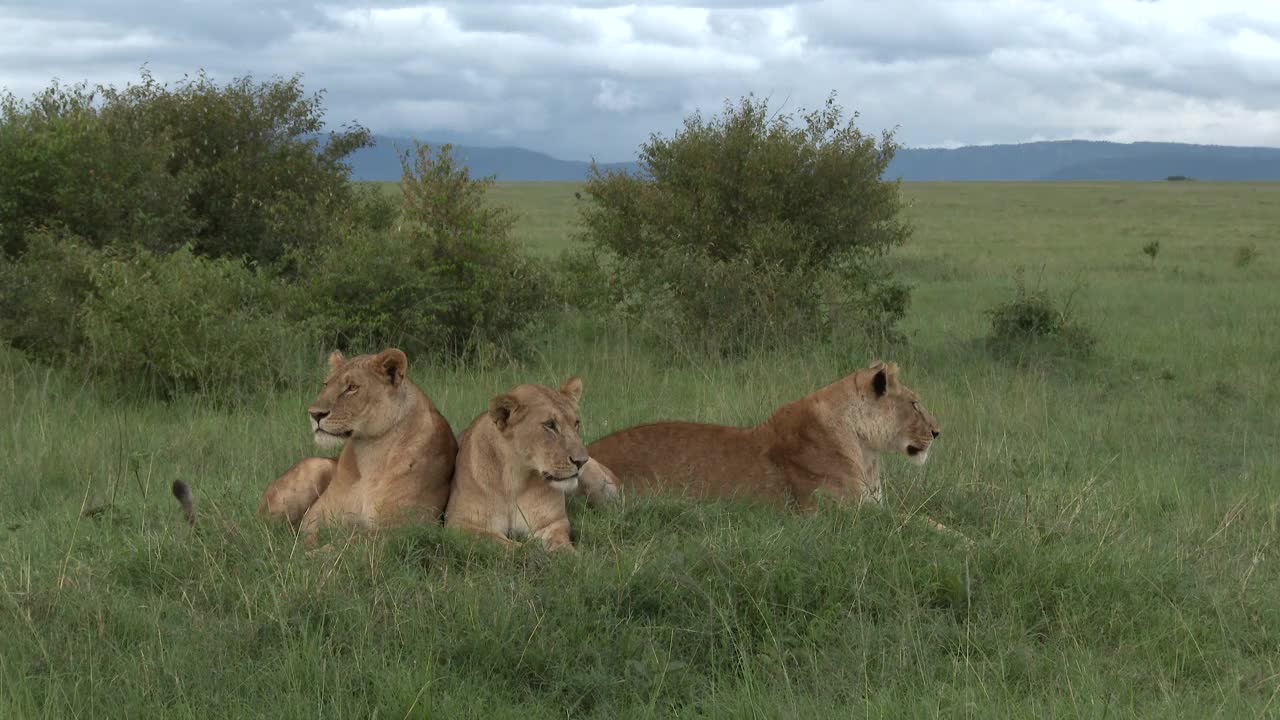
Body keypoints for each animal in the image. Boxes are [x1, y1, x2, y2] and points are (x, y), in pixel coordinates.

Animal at [253, 348, 455, 543]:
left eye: (352, 388)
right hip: (317, 466)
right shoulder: (313, 520)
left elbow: (346, 542)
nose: (314, 414)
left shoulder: (402, 528)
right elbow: (309, 538)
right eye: (326, 385)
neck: (370, 451)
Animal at [442, 376, 591, 548]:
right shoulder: (460, 522)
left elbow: (562, 546)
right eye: (550, 425)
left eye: (576, 423)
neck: (515, 478)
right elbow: (508, 545)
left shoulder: (552, 523)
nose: (582, 461)